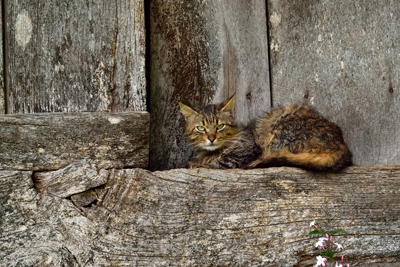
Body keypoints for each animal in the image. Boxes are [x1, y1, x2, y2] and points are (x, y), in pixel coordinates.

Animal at [180, 96, 352, 172]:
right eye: (200, 128)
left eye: (220, 126)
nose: (211, 138)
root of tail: (342, 145)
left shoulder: (246, 149)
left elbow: (219, 162)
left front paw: (199, 163)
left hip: (279, 128)